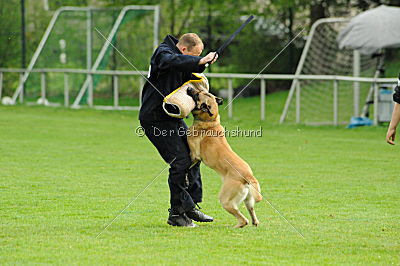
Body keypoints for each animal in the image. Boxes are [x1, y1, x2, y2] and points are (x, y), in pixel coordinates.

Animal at [187, 88, 262, 229]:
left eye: (197, 94)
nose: (189, 88)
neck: (210, 121)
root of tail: (248, 175)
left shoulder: (194, 155)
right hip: (248, 200)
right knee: (252, 215)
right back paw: (254, 223)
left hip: (225, 200)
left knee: (243, 220)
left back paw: (235, 227)